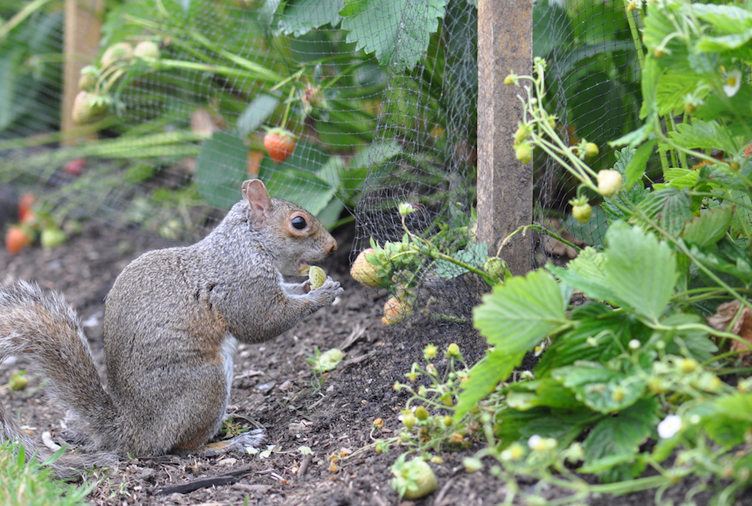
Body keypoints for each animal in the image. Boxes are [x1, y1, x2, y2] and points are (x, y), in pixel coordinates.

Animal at [0, 180, 344, 476]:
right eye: (298, 223)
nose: (334, 246)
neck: (247, 243)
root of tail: (132, 430)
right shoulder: (242, 284)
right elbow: (262, 323)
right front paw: (320, 295)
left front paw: (312, 285)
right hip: (205, 385)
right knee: (183, 448)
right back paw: (230, 443)